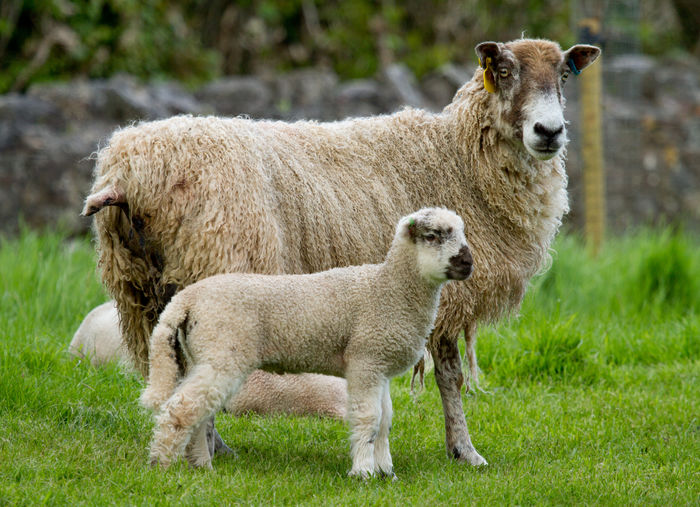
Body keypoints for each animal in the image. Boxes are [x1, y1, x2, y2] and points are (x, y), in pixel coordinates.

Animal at [139, 207, 474, 480]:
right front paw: (363, 473)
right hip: (223, 351)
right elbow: (368, 418)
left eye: (461, 232)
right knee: (182, 409)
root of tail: (187, 299)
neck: (388, 289)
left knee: (198, 412)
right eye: (432, 236)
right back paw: (161, 465)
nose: (468, 263)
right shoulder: (365, 359)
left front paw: (385, 471)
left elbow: (385, 421)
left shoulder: (380, 366)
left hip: (206, 354)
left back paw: (200, 465)